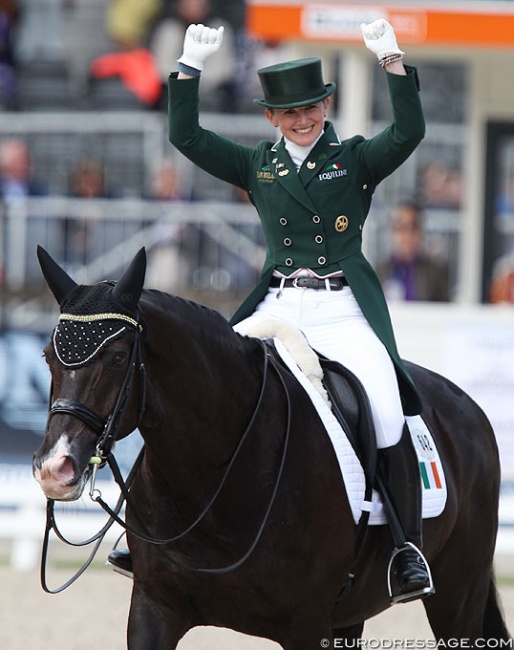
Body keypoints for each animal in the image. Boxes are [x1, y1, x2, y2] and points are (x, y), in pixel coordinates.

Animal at [33, 246, 508, 644]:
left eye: (117, 359)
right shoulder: (153, 611)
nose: (55, 469)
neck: (214, 478)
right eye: (47, 357)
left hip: (457, 599)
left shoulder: (305, 624)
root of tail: (467, 406)